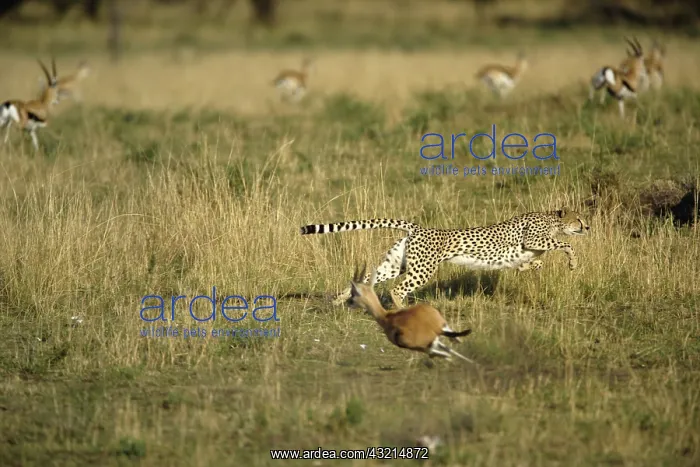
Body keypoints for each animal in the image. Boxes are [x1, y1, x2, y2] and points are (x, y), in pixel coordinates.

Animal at [300, 208, 590, 308]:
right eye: (579, 219)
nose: (587, 227)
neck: (553, 219)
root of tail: (418, 227)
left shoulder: (527, 251)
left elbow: (533, 262)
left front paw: (533, 269)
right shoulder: (533, 239)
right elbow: (564, 244)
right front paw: (573, 262)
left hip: (396, 265)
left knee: (369, 279)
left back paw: (339, 300)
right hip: (422, 269)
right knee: (397, 289)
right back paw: (401, 309)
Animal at [347, 263, 477, 364]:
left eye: (353, 294)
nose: (348, 302)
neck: (386, 317)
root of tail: (435, 327)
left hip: (430, 345)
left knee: (446, 353)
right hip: (444, 332)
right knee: (455, 344)